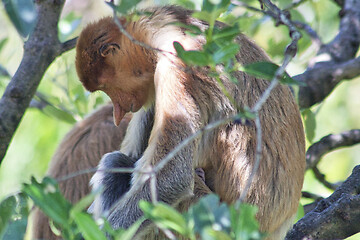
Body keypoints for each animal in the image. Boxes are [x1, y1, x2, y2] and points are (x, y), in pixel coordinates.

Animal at [74, 4, 306, 240]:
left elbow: (171, 178)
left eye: (106, 87)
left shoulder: (177, 66)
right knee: (116, 161)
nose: (117, 112)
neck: (167, 28)